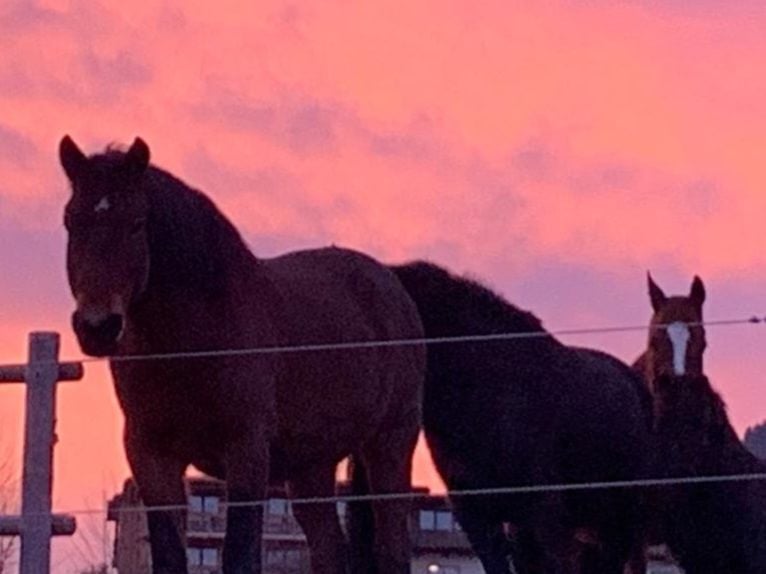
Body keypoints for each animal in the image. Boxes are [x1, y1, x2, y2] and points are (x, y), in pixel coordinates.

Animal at [60, 136, 428, 574]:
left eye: (137, 222)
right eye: (71, 221)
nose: (97, 326)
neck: (191, 344)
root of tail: (392, 288)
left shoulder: (246, 451)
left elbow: (240, 554)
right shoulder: (151, 456)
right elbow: (169, 556)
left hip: (390, 445)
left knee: (392, 548)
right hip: (311, 468)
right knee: (329, 551)